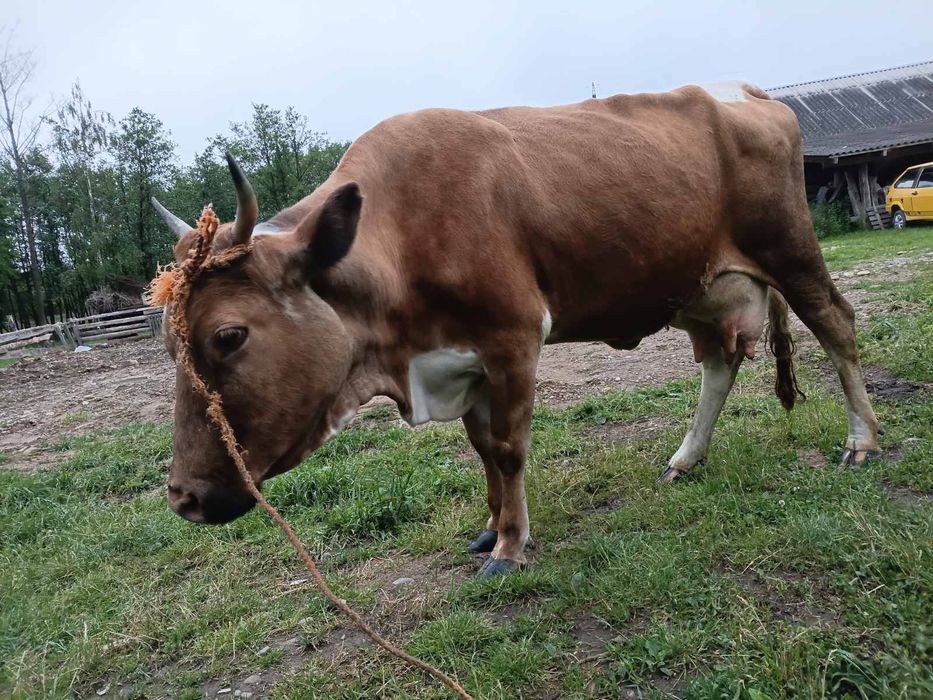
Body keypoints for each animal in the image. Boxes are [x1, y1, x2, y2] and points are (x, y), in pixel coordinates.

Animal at [153, 82, 880, 577]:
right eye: (168, 341)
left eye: (228, 336)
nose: (184, 498)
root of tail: (746, 91)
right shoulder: (461, 358)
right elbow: (480, 450)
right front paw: (490, 524)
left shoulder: (511, 337)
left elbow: (505, 449)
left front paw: (509, 546)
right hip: (699, 286)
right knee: (719, 363)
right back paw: (685, 459)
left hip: (789, 249)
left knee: (835, 324)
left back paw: (862, 442)